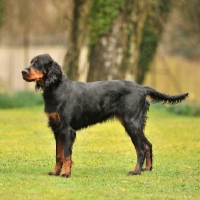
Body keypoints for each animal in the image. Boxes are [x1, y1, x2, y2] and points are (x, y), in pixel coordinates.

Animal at [21, 54, 189, 177]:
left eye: (38, 63)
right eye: (31, 62)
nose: (23, 71)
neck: (56, 88)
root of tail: (142, 88)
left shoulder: (67, 130)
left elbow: (67, 155)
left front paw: (65, 174)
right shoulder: (57, 129)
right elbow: (59, 154)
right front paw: (55, 172)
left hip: (131, 123)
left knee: (141, 149)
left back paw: (136, 171)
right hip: (135, 124)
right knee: (148, 144)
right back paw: (147, 168)